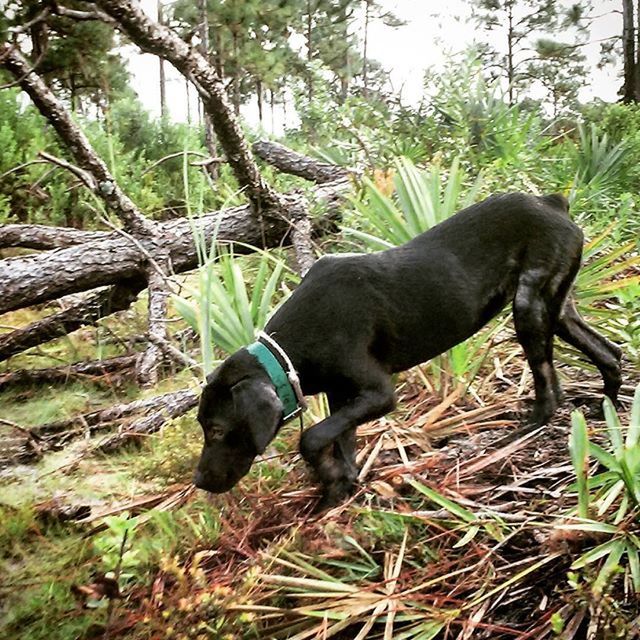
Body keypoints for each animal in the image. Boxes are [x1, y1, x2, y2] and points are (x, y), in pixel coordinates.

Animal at [194, 192, 620, 508]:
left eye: (217, 430)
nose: (198, 480)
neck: (286, 357)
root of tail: (551, 203)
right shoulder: (343, 396)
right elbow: (342, 443)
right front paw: (341, 487)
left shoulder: (380, 393)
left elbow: (312, 437)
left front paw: (330, 482)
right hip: (558, 310)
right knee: (610, 353)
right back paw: (610, 408)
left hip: (529, 307)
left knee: (550, 389)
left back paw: (521, 432)